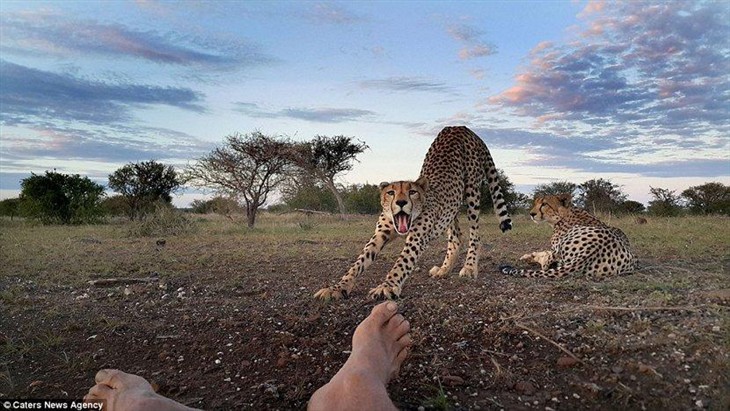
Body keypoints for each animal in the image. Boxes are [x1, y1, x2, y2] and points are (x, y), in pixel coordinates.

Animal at [314, 124, 512, 300]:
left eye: (412, 192)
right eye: (391, 193)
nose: (401, 202)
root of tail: (461, 127)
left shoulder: (417, 238)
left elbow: (402, 263)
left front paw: (387, 286)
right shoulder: (380, 234)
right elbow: (359, 262)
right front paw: (337, 288)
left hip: (472, 191)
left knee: (475, 235)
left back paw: (470, 267)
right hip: (453, 206)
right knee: (456, 236)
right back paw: (444, 269)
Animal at [498, 194, 636, 280]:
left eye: (544, 204)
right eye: (535, 203)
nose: (532, 214)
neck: (564, 215)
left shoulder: (555, 248)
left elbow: (547, 257)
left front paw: (531, 257)